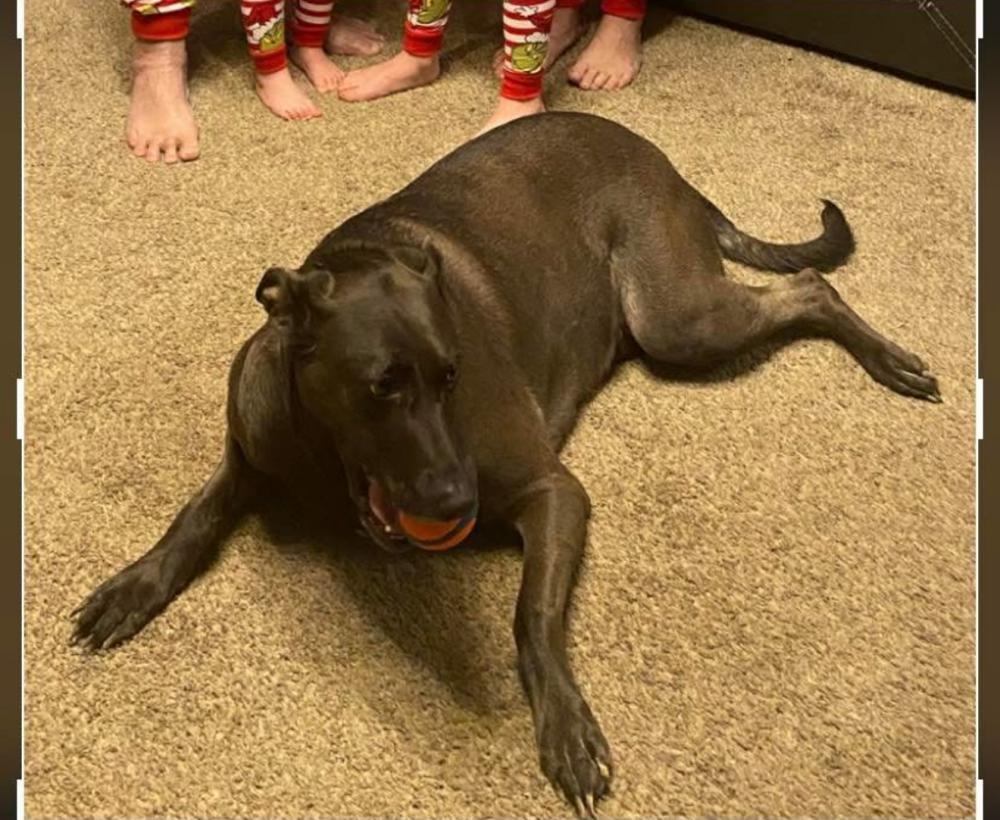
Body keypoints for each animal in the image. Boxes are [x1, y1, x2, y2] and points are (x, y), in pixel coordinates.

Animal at [72, 113, 940, 817]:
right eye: (381, 385)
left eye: (452, 374)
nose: (457, 503)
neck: (326, 458)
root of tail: (664, 164)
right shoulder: (248, 450)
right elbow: (195, 516)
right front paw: (133, 588)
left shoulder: (554, 491)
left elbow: (532, 615)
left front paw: (565, 726)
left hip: (676, 318)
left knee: (812, 286)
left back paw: (889, 359)